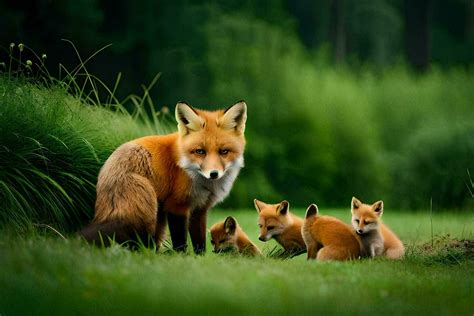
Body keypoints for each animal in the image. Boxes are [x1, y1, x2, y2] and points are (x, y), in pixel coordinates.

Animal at [79, 101, 246, 254]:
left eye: (224, 152)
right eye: (200, 151)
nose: (213, 174)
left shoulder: (199, 209)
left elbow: (200, 244)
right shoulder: (176, 205)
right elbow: (180, 242)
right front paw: (182, 259)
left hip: (158, 220)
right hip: (148, 209)